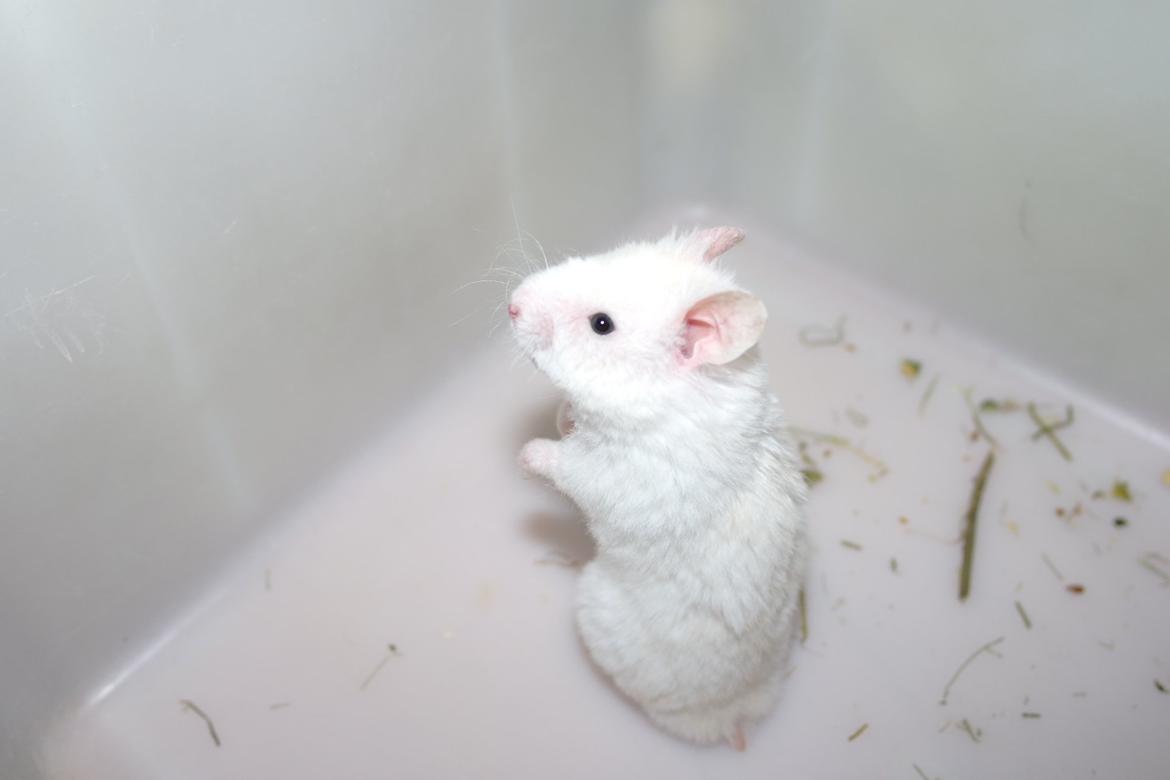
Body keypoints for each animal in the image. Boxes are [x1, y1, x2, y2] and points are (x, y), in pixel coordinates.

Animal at [509, 227, 807, 750]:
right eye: (600, 255)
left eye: (601, 325)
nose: (511, 305)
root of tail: (734, 718)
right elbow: (568, 422)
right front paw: (565, 415)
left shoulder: (612, 475)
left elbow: (563, 463)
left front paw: (526, 453)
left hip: (595, 608)